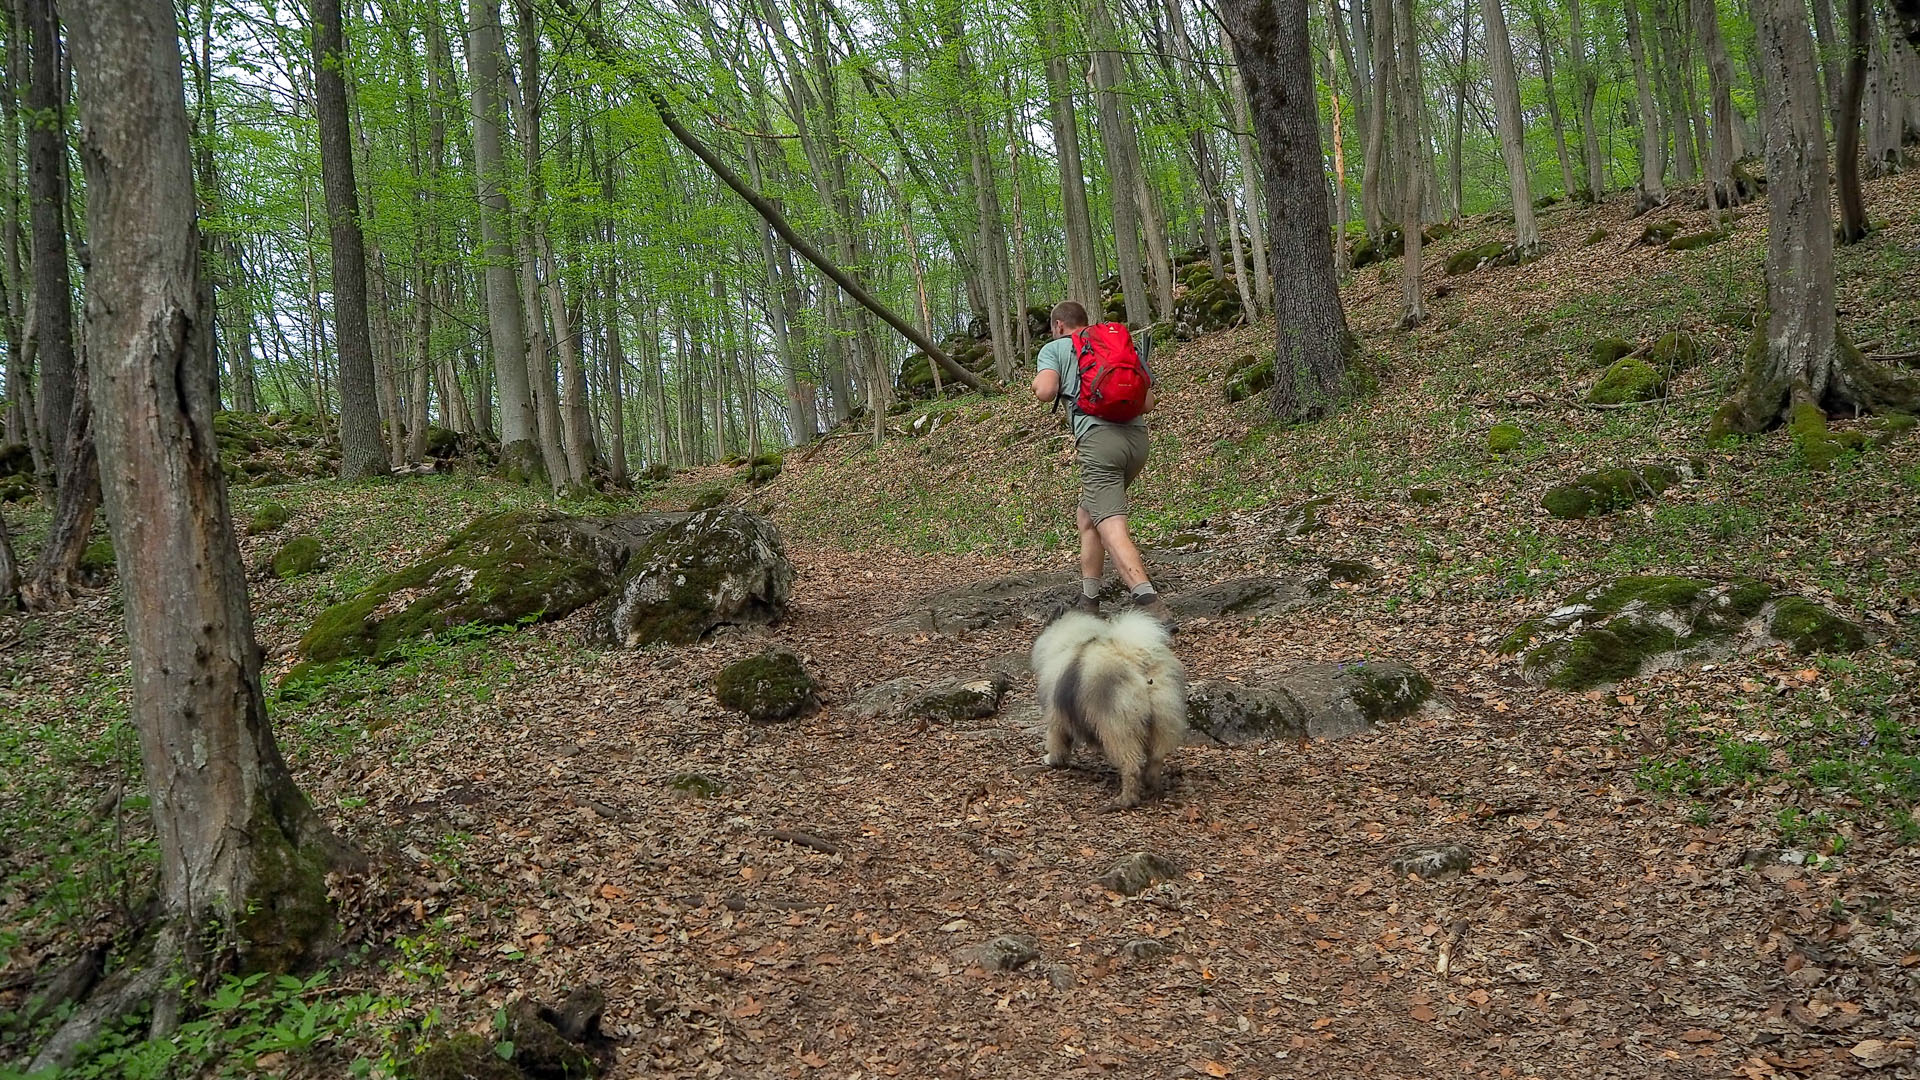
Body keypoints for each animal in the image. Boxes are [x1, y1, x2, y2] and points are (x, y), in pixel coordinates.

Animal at [1036, 607, 1182, 807]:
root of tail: (1138, 661)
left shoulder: (1057, 716)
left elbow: (1056, 742)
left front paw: (1052, 760)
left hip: (1117, 727)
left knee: (1131, 765)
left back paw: (1126, 800)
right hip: (1160, 722)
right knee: (1155, 759)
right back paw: (1151, 785)